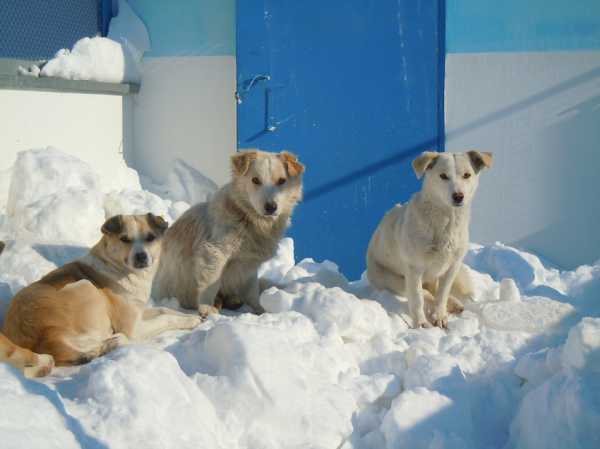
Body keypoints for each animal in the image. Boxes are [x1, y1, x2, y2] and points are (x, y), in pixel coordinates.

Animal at [1, 215, 202, 370]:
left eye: (150, 237)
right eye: (125, 239)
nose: (141, 256)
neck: (119, 268)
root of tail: (46, 338)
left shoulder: (138, 311)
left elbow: (164, 310)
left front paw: (193, 317)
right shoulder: (134, 327)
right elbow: (165, 318)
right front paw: (189, 321)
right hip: (86, 286)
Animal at [154, 150, 304, 316]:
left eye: (281, 181)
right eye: (255, 180)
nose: (271, 207)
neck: (248, 219)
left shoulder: (248, 265)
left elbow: (252, 291)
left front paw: (261, 311)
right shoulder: (214, 252)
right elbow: (211, 283)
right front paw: (206, 308)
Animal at [366, 149, 492, 328]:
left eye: (467, 175)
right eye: (443, 176)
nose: (458, 196)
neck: (446, 222)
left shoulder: (452, 267)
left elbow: (442, 295)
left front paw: (439, 316)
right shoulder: (414, 269)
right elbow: (418, 298)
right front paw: (420, 324)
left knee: (435, 291)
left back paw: (453, 304)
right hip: (393, 280)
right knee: (424, 293)